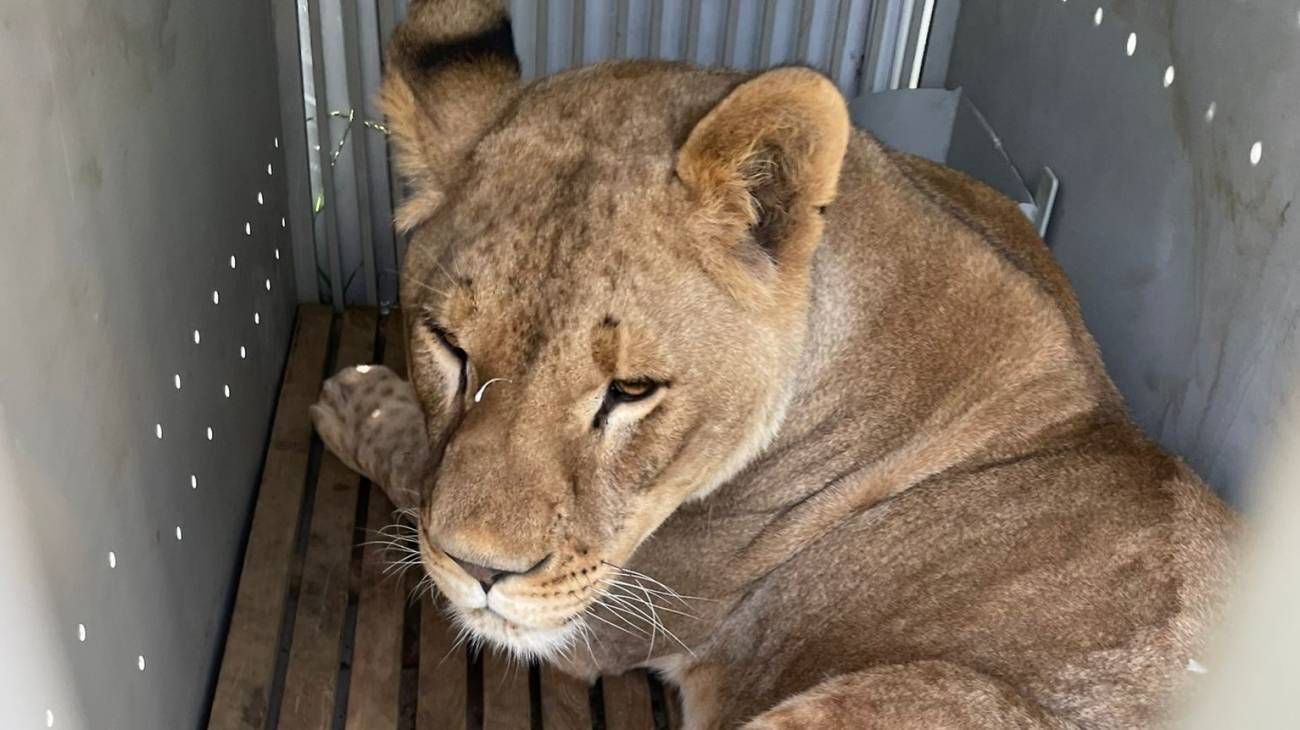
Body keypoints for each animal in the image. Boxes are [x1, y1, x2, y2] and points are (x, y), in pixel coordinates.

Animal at [306, 1, 1237, 722]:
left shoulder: (600, 619)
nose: (481, 572)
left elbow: (412, 468)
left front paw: (354, 397)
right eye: (451, 347)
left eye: (632, 390)